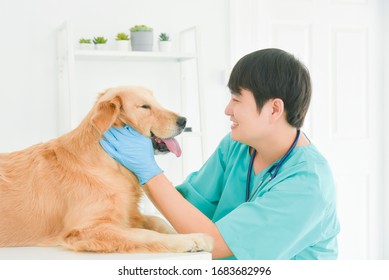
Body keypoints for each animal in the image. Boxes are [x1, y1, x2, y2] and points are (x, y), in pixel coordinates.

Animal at [0, 85, 212, 254]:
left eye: (156, 103)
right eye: (144, 107)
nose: (184, 121)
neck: (108, 160)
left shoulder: (128, 214)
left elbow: (157, 221)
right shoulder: (86, 228)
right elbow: (145, 234)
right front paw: (191, 238)